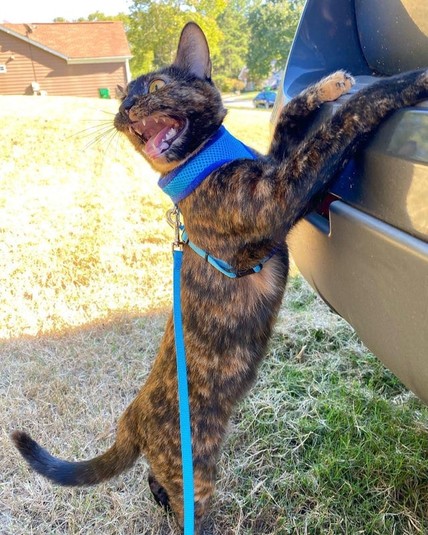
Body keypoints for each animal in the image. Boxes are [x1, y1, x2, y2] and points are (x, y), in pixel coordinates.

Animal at [12, 22, 428, 534]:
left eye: (154, 87)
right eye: (123, 97)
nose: (125, 109)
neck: (205, 159)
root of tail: (131, 420)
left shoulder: (273, 164)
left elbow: (291, 116)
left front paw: (330, 84)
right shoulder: (278, 197)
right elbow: (336, 128)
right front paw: (406, 81)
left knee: (155, 483)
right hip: (197, 473)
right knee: (185, 504)